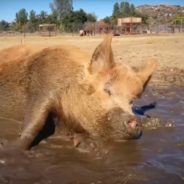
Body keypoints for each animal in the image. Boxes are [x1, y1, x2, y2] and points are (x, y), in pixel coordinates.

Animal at [0, 34, 156, 150]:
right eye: (107, 90)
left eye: (132, 101)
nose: (135, 121)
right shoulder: (44, 84)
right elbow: (34, 122)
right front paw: (11, 149)